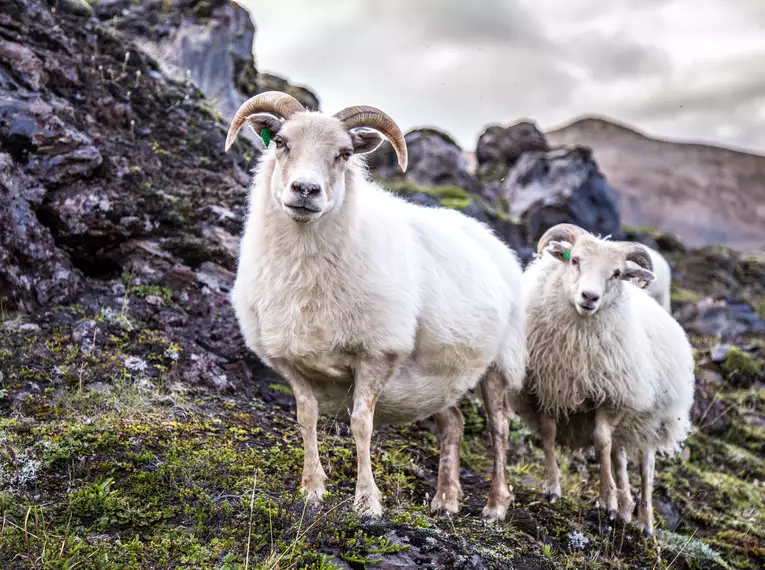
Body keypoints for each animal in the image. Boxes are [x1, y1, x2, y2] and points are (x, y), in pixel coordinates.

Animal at [224, 90, 528, 520]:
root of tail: (488, 236)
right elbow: (306, 418)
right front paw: (311, 490)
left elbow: (360, 425)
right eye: (281, 142)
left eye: (344, 153)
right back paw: (445, 500)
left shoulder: (375, 354)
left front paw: (367, 502)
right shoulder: (290, 361)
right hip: (435, 376)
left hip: (500, 364)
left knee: (498, 429)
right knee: (452, 423)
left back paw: (496, 505)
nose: (305, 190)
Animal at [510, 223, 696, 536]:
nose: (589, 297)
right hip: (629, 423)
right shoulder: (546, 388)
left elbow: (601, 442)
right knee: (620, 459)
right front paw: (552, 488)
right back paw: (625, 509)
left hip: (651, 420)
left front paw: (607, 501)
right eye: (574, 260)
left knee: (645, 466)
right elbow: (548, 433)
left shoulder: (612, 396)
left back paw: (645, 523)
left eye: (617, 273)